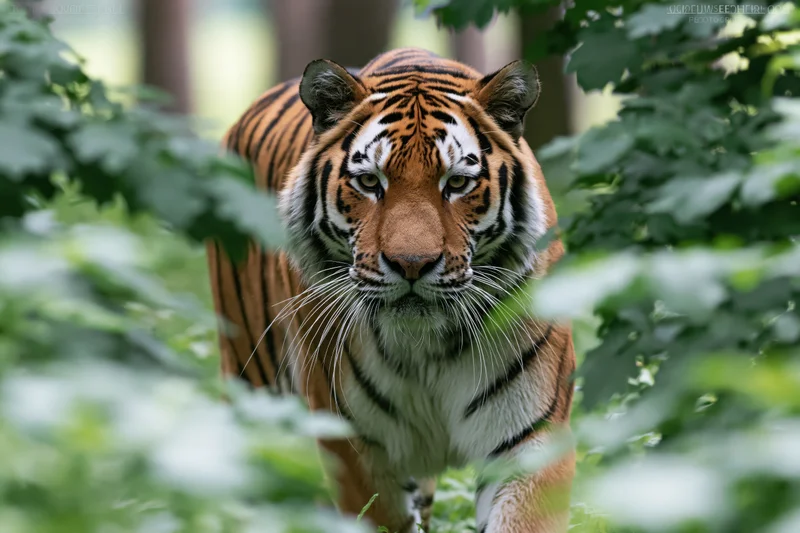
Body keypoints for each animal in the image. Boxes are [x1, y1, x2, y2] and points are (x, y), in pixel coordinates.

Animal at [207, 48, 576, 533]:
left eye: (457, 183)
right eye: (369, 182)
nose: (412, 264)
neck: (426, 348)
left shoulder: (530, 440)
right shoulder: (356, 449)